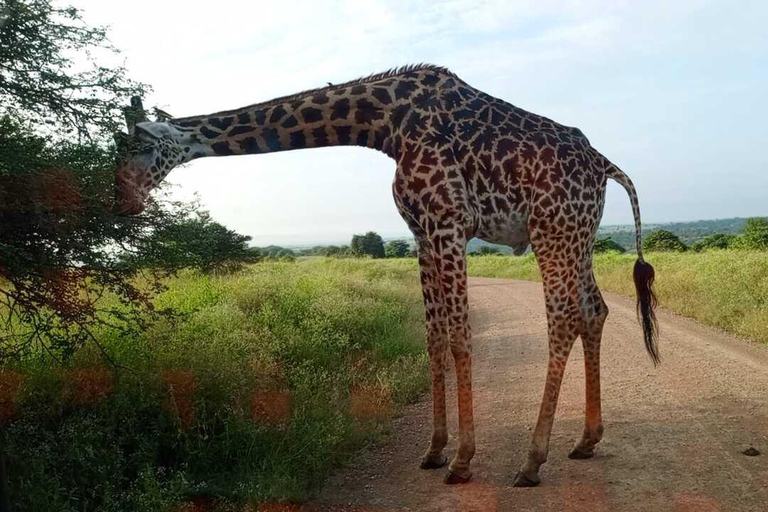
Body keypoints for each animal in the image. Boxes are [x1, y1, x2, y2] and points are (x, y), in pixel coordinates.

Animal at [114, 64, 660, 484]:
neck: (385, 126)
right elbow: (433, 336)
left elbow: (459, 337)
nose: (122, 203)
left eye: (137, 148)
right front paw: (435, 450)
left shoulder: (449, 222)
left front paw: (462, 461)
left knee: (564, 319)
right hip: (579, 233)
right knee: (594, 310)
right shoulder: (421, 231)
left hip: (553, 229)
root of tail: (605, 165)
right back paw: (585, 440)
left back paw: (531, 461)